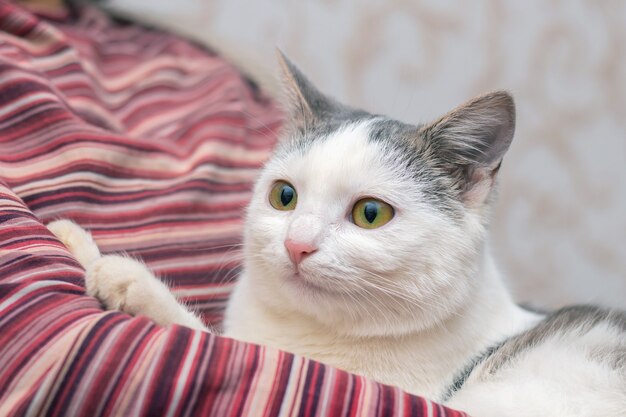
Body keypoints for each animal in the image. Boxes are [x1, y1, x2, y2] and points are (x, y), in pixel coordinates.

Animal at [48, 52, 624, 416]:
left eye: (370, 213)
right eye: (284, 197)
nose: (296, 243)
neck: (305, 331)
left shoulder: (364, 392)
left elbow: (224, 347)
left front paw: (127, 280)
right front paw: (72, 243)